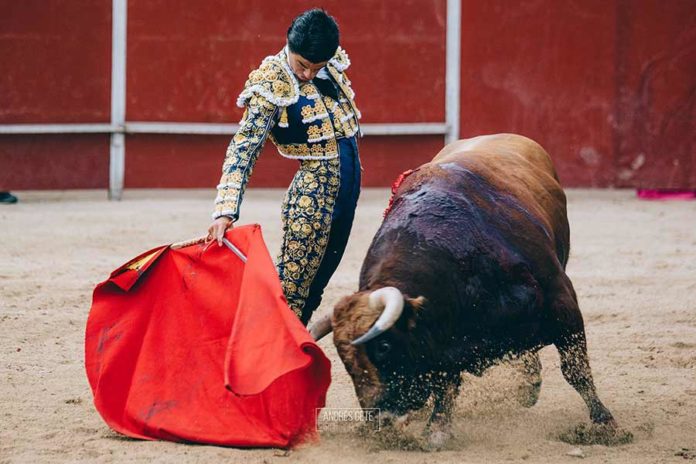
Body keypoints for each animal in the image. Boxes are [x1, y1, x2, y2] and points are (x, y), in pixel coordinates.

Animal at [310, 133, 620, 450]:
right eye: (344, 358)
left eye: (383, 345)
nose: (379, 420)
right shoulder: (448, 338)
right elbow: (446, 379)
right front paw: (437, 429)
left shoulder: (562, 301)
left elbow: (576, 371)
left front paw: (604, 425)